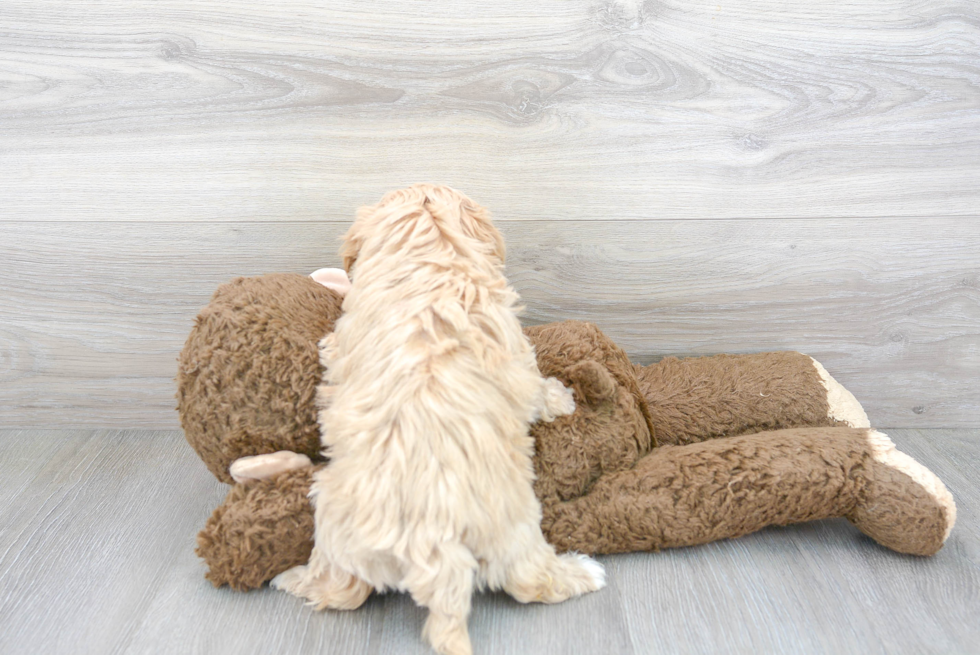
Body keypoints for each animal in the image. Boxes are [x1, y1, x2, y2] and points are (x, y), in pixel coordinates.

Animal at [270, 184, 604, 655]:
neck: (432, 249)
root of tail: (433, 541)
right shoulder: (517, 353)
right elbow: (536, 383)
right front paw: (562, 399)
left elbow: (332, 346)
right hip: (514, 523)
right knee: (529, 580)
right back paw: (583, 573)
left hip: (336, 519)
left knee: (339, 591)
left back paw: (291, 578)